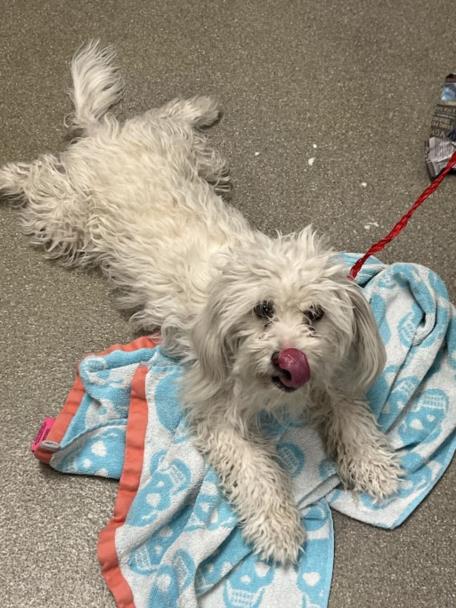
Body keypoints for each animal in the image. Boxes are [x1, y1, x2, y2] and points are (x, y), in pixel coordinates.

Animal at [0, 42, 401, 565]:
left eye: (315, 315)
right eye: (263, 310)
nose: (288, 358)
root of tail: (103, 138)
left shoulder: (328, 374)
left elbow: (350, 414)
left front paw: (372, 464)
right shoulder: (219, 409)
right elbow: (255, 472)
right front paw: (277, 528)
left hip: (194, 160)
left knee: (163, 115)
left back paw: (201, 107)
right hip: (70, 219)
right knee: (41, 176)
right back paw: (6, 175)